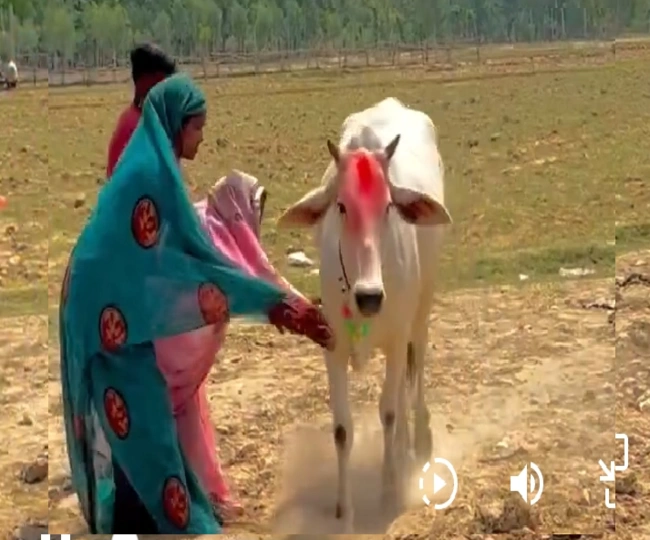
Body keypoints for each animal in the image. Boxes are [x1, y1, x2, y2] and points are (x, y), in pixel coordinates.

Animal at [277, 97, 452, 530]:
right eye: (341, 206)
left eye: (388, 206)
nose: (370, 297)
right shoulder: (332, 347)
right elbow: (342, 430)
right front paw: (345, 511)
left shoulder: (396, 339)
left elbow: (388, 412)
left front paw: (389, 491)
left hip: (420, 311)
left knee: (413, 378)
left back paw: (416, 443)